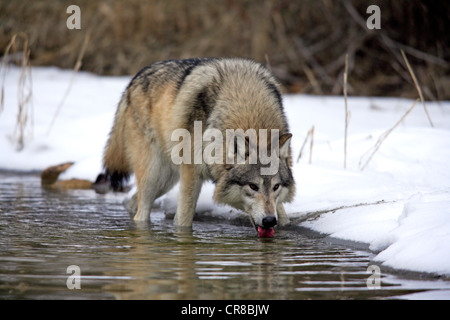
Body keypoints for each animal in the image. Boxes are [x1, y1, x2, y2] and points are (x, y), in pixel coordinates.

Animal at [103, 58, 298, 238]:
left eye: (276, 187)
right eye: (253, 186)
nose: (269, 220)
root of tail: (134, 79)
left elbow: (284, 217)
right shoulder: (191, 174)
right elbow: (183, 220)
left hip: (166, 181)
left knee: (133, 201)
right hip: (154, 176)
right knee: (141, 212)